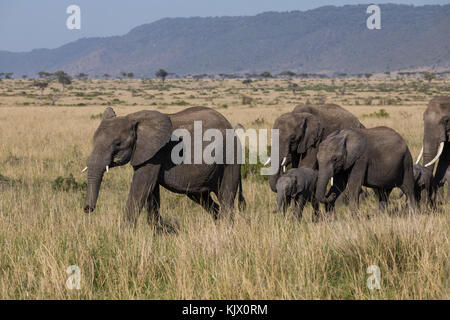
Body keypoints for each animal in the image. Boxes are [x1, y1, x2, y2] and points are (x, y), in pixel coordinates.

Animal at [84, 106, 246, 226]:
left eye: (118, 144)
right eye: (93, 140)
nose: (87, 209)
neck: (133, 119)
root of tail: (232, 127)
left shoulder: (155, 153)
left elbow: (141, 188)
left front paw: (124, 236)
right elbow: (151, 193)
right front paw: (158, 233)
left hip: (230, 157)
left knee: (226, 198)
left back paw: (226, 231)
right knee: (204, 199)